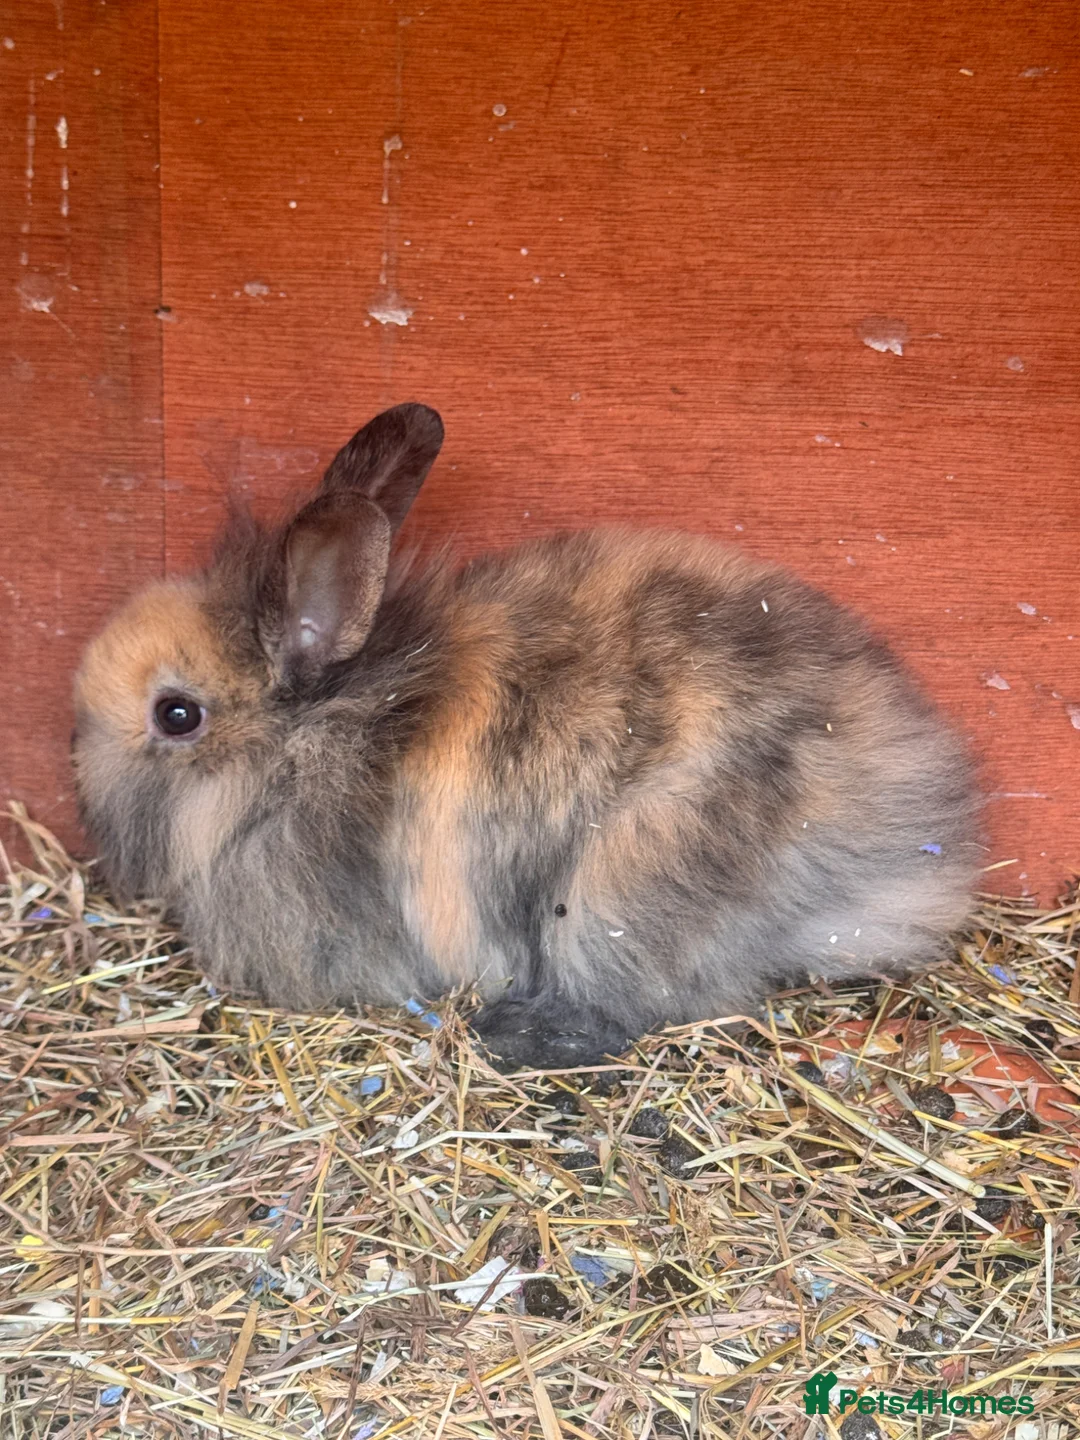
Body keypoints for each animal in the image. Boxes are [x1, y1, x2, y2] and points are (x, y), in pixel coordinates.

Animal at [73, 402, 980, 1070]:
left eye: (176, 715)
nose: (80, 786)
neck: (311, 742)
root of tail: (913, 853)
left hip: (615, 893)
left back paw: (512, 1034)